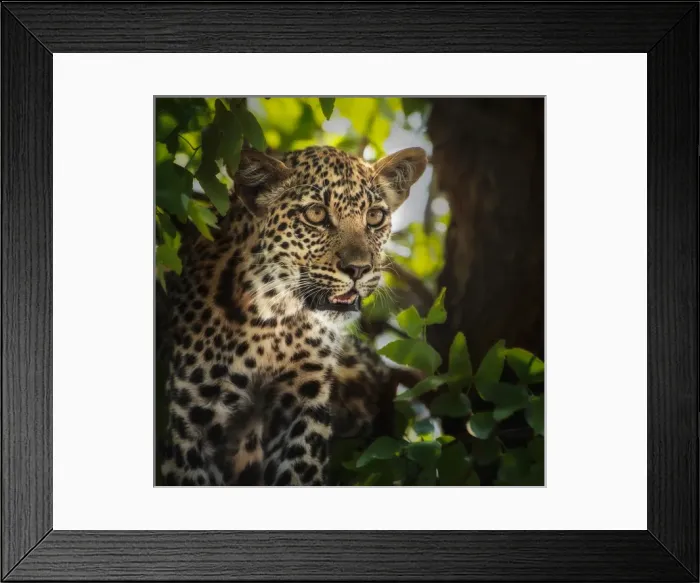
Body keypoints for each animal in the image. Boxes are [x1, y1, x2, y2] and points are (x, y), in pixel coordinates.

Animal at [159, 144, 427, 486]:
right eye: (316, 214)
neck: (274, 320)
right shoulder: (192, 419)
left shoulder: (303, 405)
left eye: (374, 217)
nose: (359, 269)